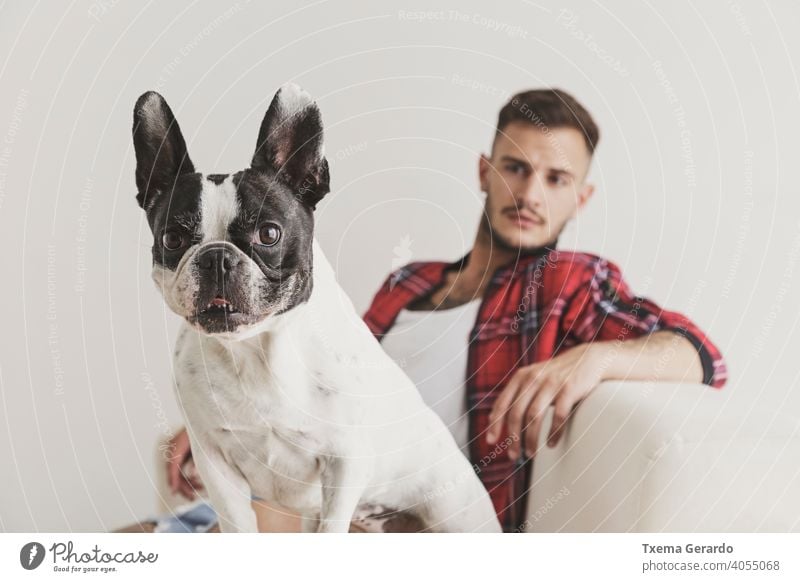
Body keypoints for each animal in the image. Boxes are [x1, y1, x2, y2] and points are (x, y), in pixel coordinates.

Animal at [135, 83, 504, 532]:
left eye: (269, 233)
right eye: (172, 239)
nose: (216, 257)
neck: (257, 349)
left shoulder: (344, 462)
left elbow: (333, 524)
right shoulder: (215, 463)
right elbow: (238, 525)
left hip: (455, 515)